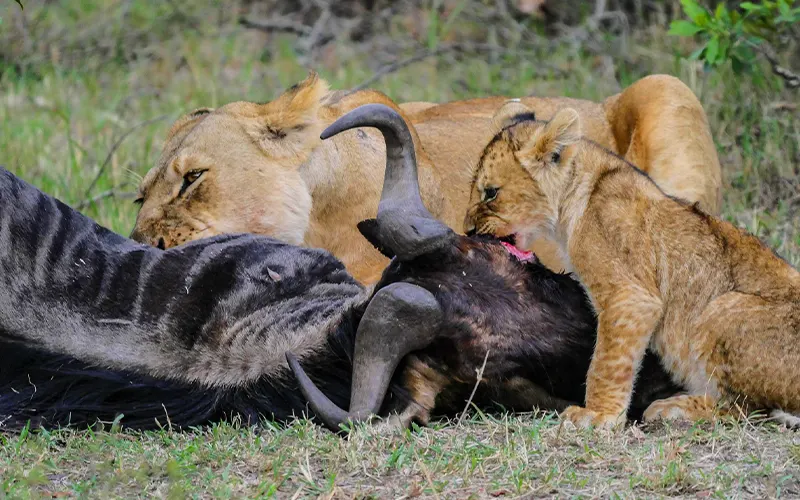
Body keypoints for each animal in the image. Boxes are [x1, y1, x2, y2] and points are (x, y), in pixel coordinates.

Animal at [464, 103, 800, 430]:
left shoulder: (629, 296)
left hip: (721, 308)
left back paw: (674, 408)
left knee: (749, 408)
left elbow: (608, 361)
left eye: (490, 192)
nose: (468, 230)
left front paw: (598, 415)